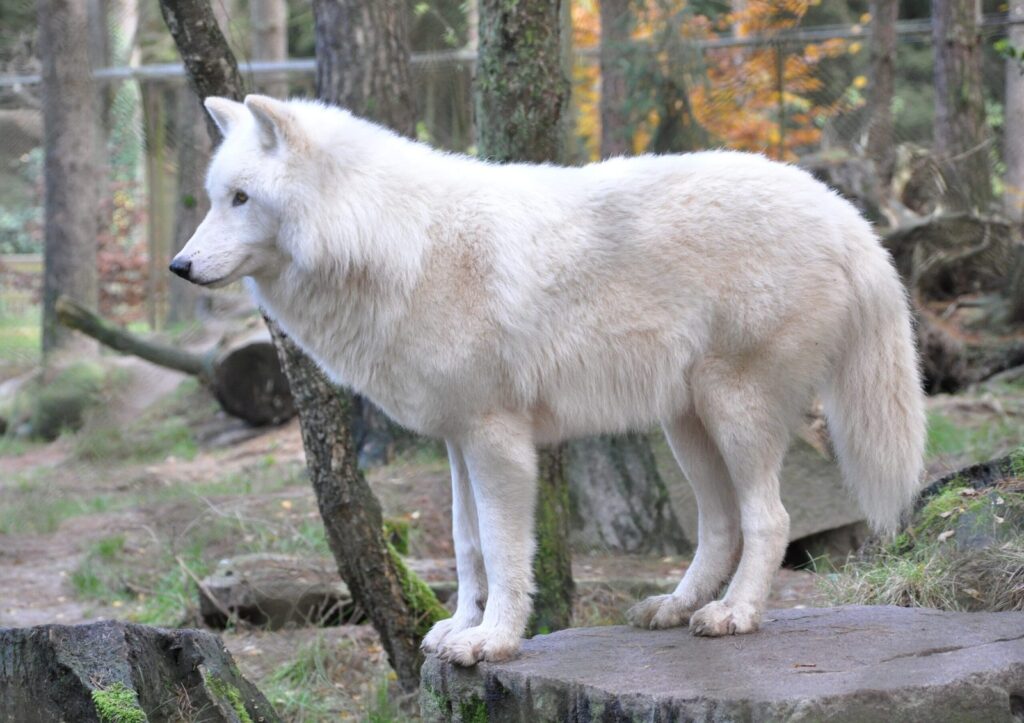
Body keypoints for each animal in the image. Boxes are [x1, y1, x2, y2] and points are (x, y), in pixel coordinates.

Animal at [171, 95, 926, 666]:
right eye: (214, 198)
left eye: (242, 198)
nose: (180, 266)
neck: (397, 241)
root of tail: (845, 211)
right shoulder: (457, 440)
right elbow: (467, 544)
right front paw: (459, 627)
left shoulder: (497, 440)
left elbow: (507, 552)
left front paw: (493, 641)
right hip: (686, 426)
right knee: (720, 525)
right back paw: (676, 606)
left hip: (734, 412)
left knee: (769, 520)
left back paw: (735, 614)